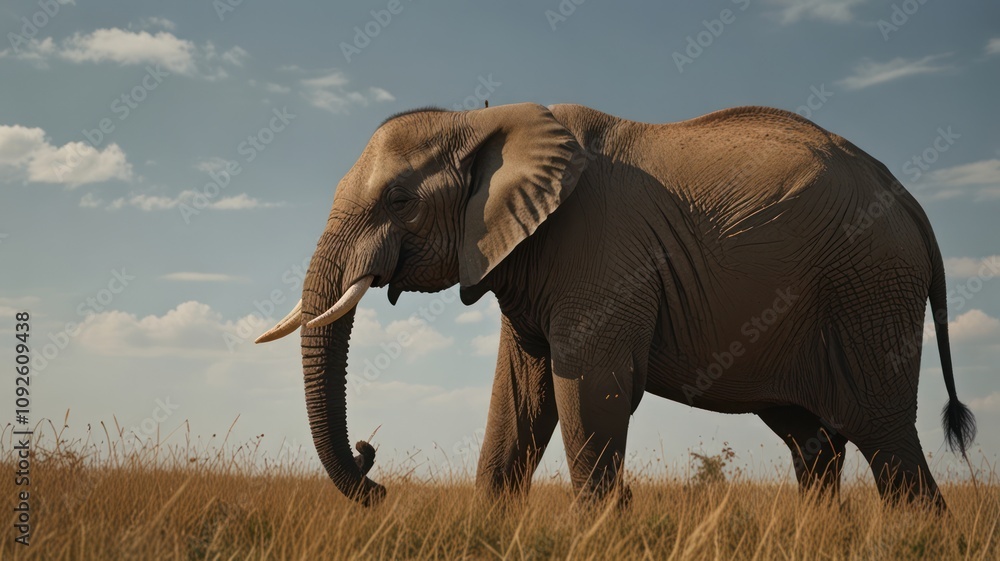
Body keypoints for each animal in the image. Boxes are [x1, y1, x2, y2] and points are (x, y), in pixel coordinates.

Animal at [256, 102, 976, 509]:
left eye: (399, 200)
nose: (374, 469)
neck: (485, 122)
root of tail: (911, 201)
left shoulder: (599, 252)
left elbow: (589, 392)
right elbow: (518, 401)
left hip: (870, 291)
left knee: (888, 442)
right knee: (814, 444)